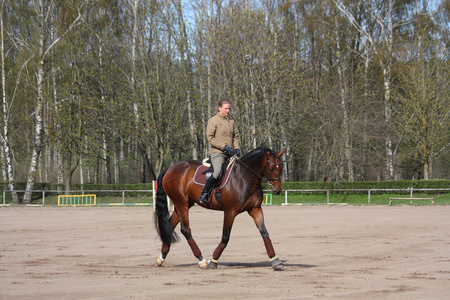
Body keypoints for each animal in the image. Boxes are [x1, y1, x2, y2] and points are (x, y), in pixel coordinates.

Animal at [154, 146, 284, 270]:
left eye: (281, 168)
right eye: (271, 168)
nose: (277, 190)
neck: (244, 177)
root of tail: (170, 168)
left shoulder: (255, 209)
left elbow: (264, 233)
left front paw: (275, 260)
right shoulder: (230, 212)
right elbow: (225, 237)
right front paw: (213, 261)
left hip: (182, 204)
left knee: (170, 226)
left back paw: (161, 257)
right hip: (182, 204)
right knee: (185, 230)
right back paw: (201, 260)